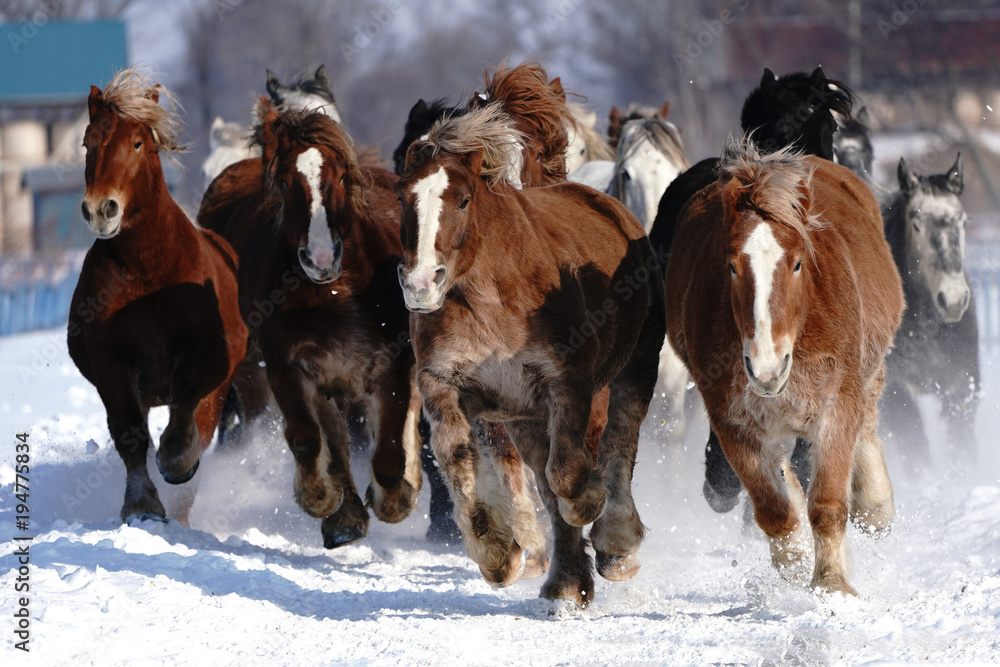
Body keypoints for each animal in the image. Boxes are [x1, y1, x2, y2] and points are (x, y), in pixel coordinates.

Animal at [69, 69, 248, 522]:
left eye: (137, 143)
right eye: (88, 142)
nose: (101, 210)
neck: (147, 271)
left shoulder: (204, 352)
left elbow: (186, 405)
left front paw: (176, 462)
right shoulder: (110, 362)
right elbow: (129, 433)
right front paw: (142, 505)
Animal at [232, 104, 423, 548]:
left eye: (339, 176)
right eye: (286, 180)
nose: (320, 257)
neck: (333, 293)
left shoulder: (390, 365)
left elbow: (389, 451)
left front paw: (396, 499)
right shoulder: (290, 366)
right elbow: (308, 439)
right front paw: (322, 500)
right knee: (333, 438)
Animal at [398, 103, 664, 607]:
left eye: (463, 200)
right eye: (404, 198)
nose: (421, 283)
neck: (490, 299)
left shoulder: (568, 382)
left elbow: (568, 477)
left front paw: (590, 503)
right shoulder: (446, 384)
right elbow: (462, 464)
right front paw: (498, 554)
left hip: (634, 368)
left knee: (619, 442)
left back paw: (617, 546)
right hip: (524, 416)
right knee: (544, 481)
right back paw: (567, 584)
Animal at [666, 138, 903, 595]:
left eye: (796, 262)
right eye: (731, 265)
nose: (766, 368)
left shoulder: (835, 408)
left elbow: (827, 504)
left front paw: (831, 585)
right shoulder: (734, 424)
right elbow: (775, 511)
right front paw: (792, 570)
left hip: (867, 377)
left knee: (867, 429)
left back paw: (876, 505)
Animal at [880, 154, 979, 465]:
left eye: (963, 220)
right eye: (916, 222)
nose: (954, 299)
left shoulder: (961, 384)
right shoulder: (897, 394)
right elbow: (917, 453)